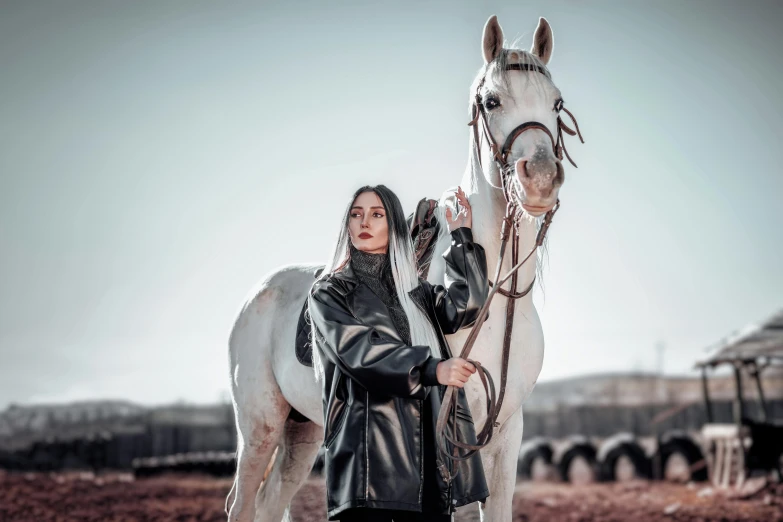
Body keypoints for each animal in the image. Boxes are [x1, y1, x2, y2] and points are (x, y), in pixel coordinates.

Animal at [224, 14, 572, 516]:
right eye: (492, 100)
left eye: (556, 103)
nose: (541, 178)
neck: (498, 302)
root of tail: (257, 295)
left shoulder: (507, 435)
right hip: (259, 426)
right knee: (242, 503)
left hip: (303, 429)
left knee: (271, 502)